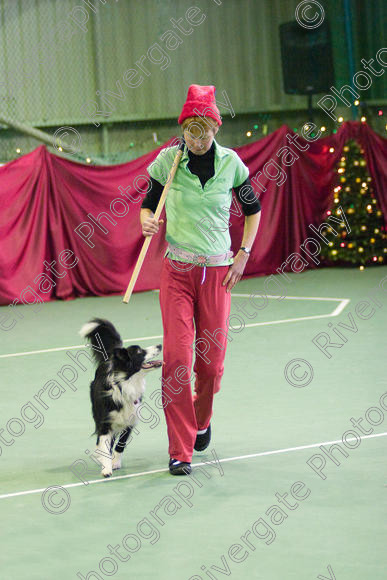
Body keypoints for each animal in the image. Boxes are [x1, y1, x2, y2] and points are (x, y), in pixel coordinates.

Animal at [80, 320, 162, 478]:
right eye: (139, 352)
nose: (160, 345)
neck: (126, 384)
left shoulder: (131, 419)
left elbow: (120, 444)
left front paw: (115, 463)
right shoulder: (105, 422)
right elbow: (105, 444)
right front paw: (106, 468)